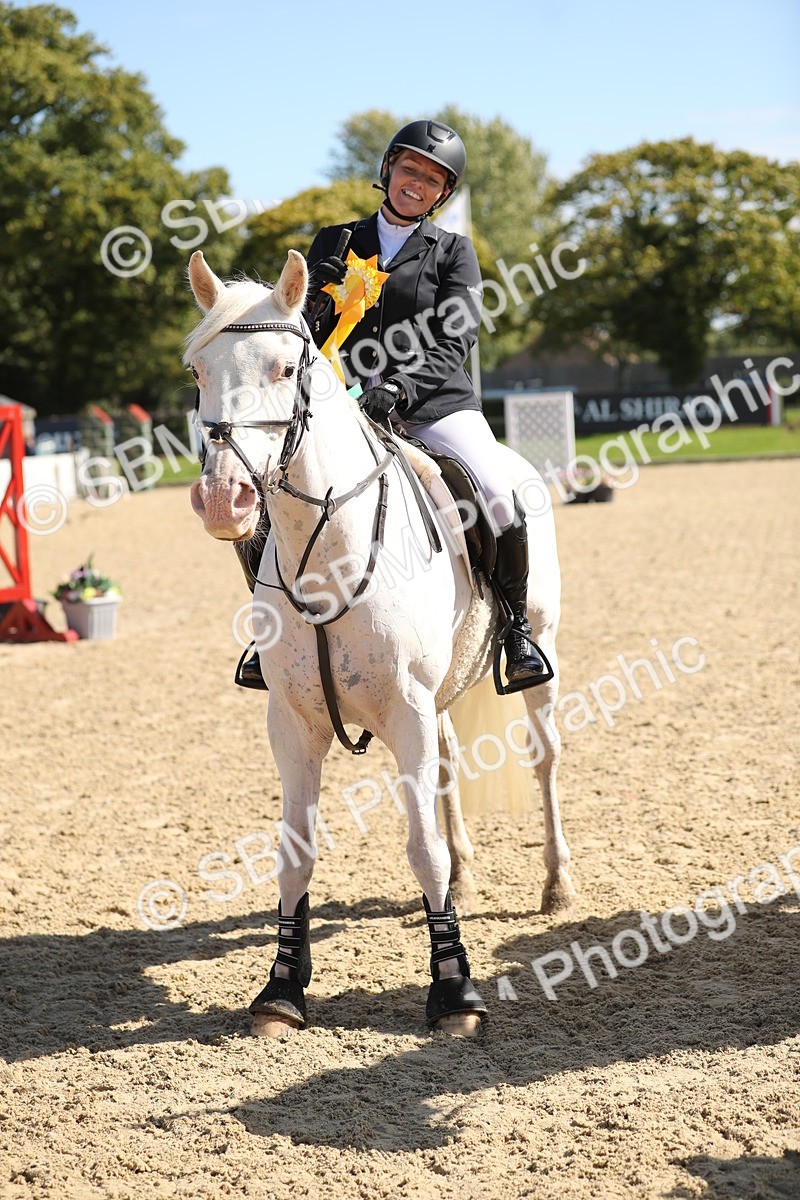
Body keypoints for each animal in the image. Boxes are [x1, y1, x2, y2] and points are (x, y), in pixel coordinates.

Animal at [185, 248, 575, 1038]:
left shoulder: (405, 712)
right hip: (440, 697)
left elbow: (420, 849)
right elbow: (295, 855)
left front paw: (454, 991)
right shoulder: (292, 724)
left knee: (544, 757)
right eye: (199, 374)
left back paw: (556, 883)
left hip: (536, 654)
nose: (223, 501)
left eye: (285, 367)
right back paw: (470, 873)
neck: (328, 554)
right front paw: (282, 987)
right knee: (450, 769)